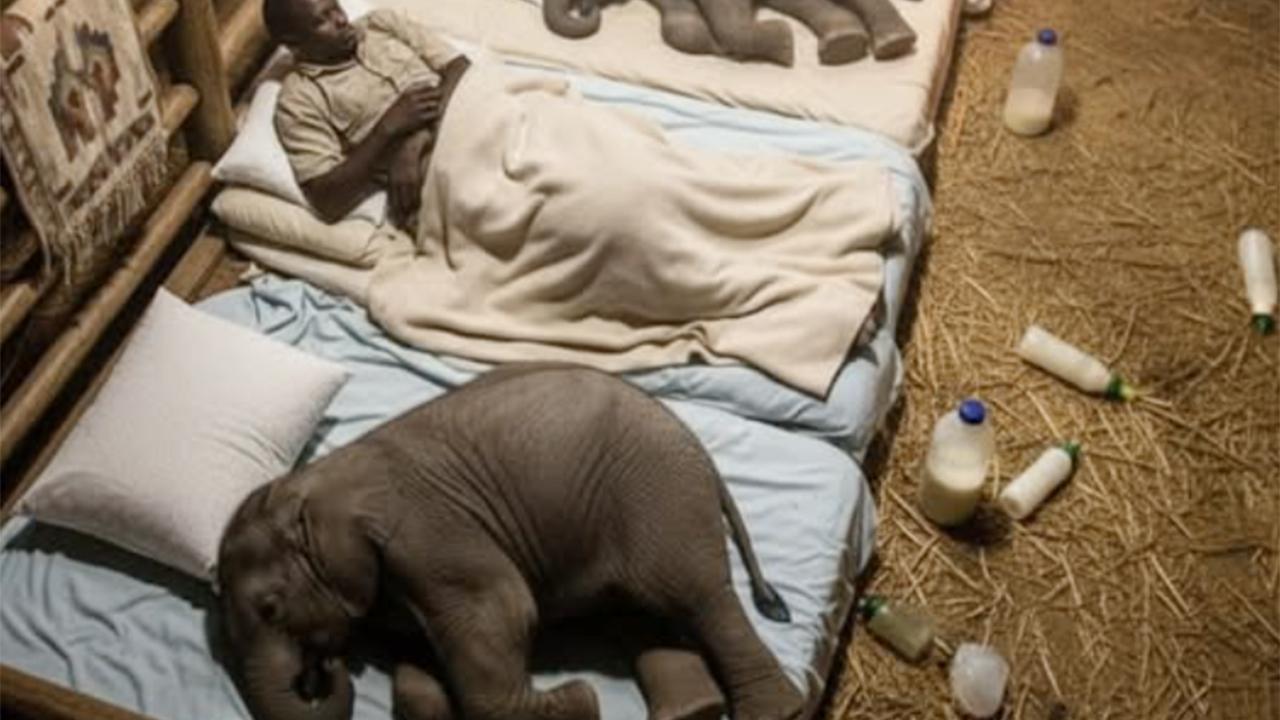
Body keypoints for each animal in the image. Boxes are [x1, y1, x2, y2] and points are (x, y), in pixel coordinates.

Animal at [217, 364, 806, 720]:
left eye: (270, 608)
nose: (323, 668)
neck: (306, 484)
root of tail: (701, 453)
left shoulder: (429, 533)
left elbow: (502, 613)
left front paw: (582, 701)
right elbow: (416, 667)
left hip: (659, 501)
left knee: (700, 598)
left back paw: (775, 713)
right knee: (640, 612)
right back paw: (694, 713)